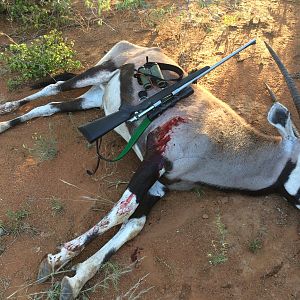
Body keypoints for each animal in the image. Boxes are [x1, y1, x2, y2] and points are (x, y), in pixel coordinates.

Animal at [0, 40, 300, 300]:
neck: (223, 142)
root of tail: (137, 46)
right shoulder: (152, 164)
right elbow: (120, 212)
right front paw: (55, 261)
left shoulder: (160, 186)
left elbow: (134, 224)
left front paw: (75, 280)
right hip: (97, 73)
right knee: (55, 88)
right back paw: (5, 111)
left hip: (94, 98)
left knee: (50, 107)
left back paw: (7, 124)